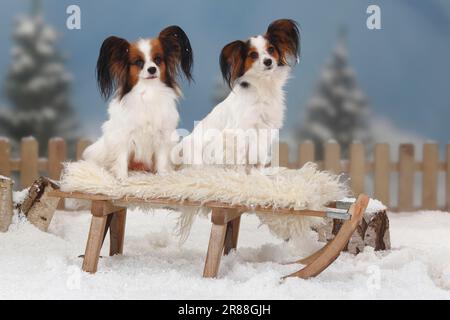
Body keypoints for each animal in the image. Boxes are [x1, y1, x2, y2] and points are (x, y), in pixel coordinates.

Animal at [83, 26, 192, 179]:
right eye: (139, 62)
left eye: (158, 59)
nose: (152, 69)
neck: (148, 92)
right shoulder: (123, 136)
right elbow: (121, 159)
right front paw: (122, 178)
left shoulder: (163, 135)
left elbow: (161, 159)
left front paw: (163, 175)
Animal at [178, 19, 298, 168]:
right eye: (253, 55)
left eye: (271, 49)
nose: (268, 61)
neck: (262, 85)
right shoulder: (241, 132)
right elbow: (240, 158)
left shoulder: (265, 131)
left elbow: (260, 158)